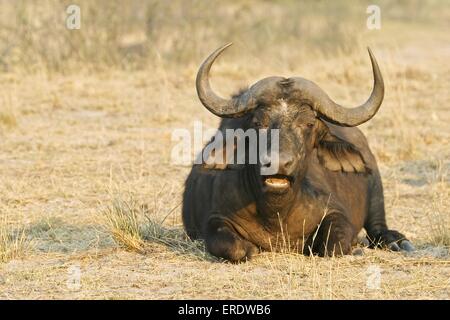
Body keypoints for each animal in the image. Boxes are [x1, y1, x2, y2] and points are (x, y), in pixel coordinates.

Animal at [181, 43, 414, 262]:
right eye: (258, 123)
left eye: (308, 124)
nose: (278, 163)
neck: (276, 215)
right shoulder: (214, 219)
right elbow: (234, 247)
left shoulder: (336, 213)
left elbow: (334, 246)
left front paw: (355, 248)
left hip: (376, 191)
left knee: (378, 228)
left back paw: (397, 242)